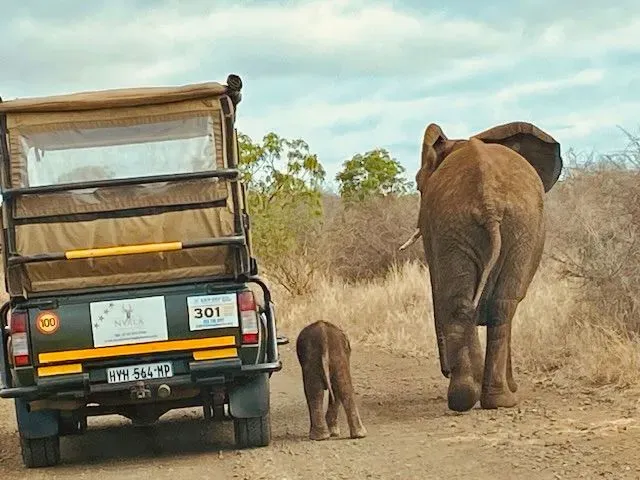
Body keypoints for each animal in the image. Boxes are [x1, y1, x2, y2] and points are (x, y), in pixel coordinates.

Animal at [399, 121, 562, 412]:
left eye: (418, 186)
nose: (445, 370)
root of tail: (489, 200)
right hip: (471, 225)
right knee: (497, 304)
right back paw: (489, 398)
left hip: (488, 224)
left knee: (479, 304)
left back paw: (476, 398)